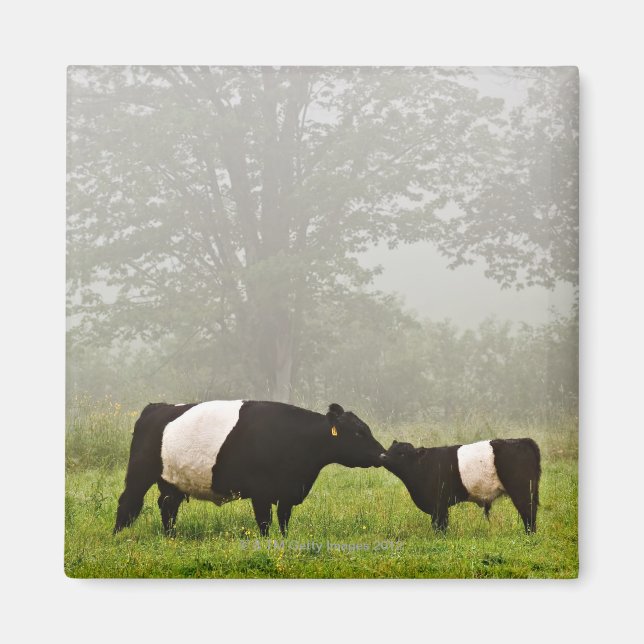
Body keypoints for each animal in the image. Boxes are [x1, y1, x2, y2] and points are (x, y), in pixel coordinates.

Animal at [113, 400, 384, 537]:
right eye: (358, 432)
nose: (382, 453)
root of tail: (157, 406)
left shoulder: (287, 492)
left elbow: (284, 521)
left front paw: (284, 541)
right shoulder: (261, 492)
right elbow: (264, 522)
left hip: (172, 480)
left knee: (168, 506)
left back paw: (171, 537)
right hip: (141, 471)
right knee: (128, 502)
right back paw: (117, 536)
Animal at [379, 438, 541, 533]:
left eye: (402, 454)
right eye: (390, 449)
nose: (383, 456)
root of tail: (523, 441)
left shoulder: (439, 505)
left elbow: (440, 525)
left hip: (522, 491)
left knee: (528, 513)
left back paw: (529, 534)